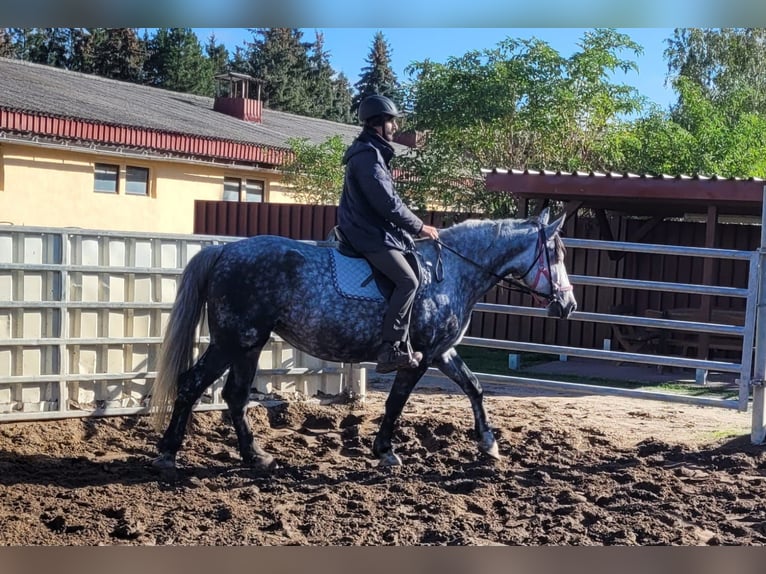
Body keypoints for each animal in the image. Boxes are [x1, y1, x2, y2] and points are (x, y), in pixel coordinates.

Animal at [148, 209, 576, 470]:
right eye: (555, 253)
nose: (568, 305)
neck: (451, 271)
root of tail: (223, 251)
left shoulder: (442, 352)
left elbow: (474, 387)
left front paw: (488, 443)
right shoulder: (419, 356)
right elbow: (396, 402)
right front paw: (385, 451)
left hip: (248, 345)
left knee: (234, 396)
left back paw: (255, 456)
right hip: (234, 341)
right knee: (193, 384)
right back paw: (168, 453)